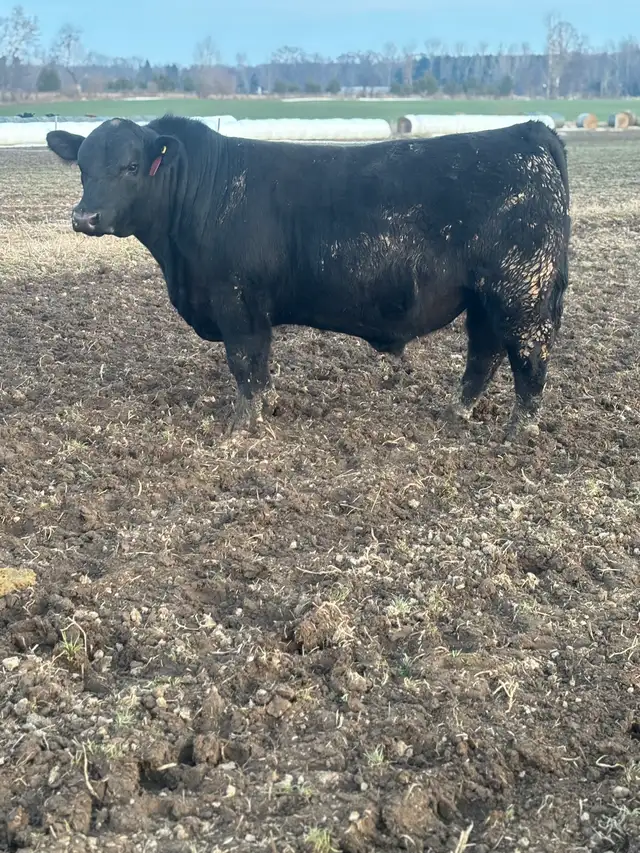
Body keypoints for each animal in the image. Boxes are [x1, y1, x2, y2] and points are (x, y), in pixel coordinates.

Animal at [46, 115, 570, 438]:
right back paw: (454, 414)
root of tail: (526, 132)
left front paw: (244, 427)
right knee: (484, 354)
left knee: (529, 359)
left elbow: (245, 363)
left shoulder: (236, 301)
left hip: (521, 291)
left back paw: (518, 433)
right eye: (83, 167)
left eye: (132, 166)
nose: (85, 217)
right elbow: (260, 366)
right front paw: (267, 407)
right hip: (485, 297)